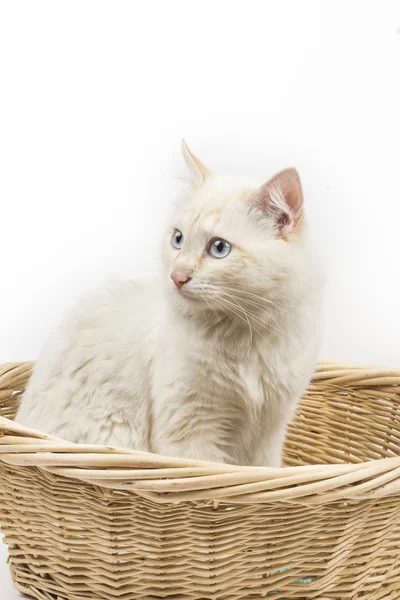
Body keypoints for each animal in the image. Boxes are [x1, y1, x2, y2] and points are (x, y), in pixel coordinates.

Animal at [16, 142, 322, 468]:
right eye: (178, 239)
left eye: (219, 248)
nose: (177, 276)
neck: (245, 335)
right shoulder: (191, 428)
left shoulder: (269, 431)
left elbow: (263, 470)